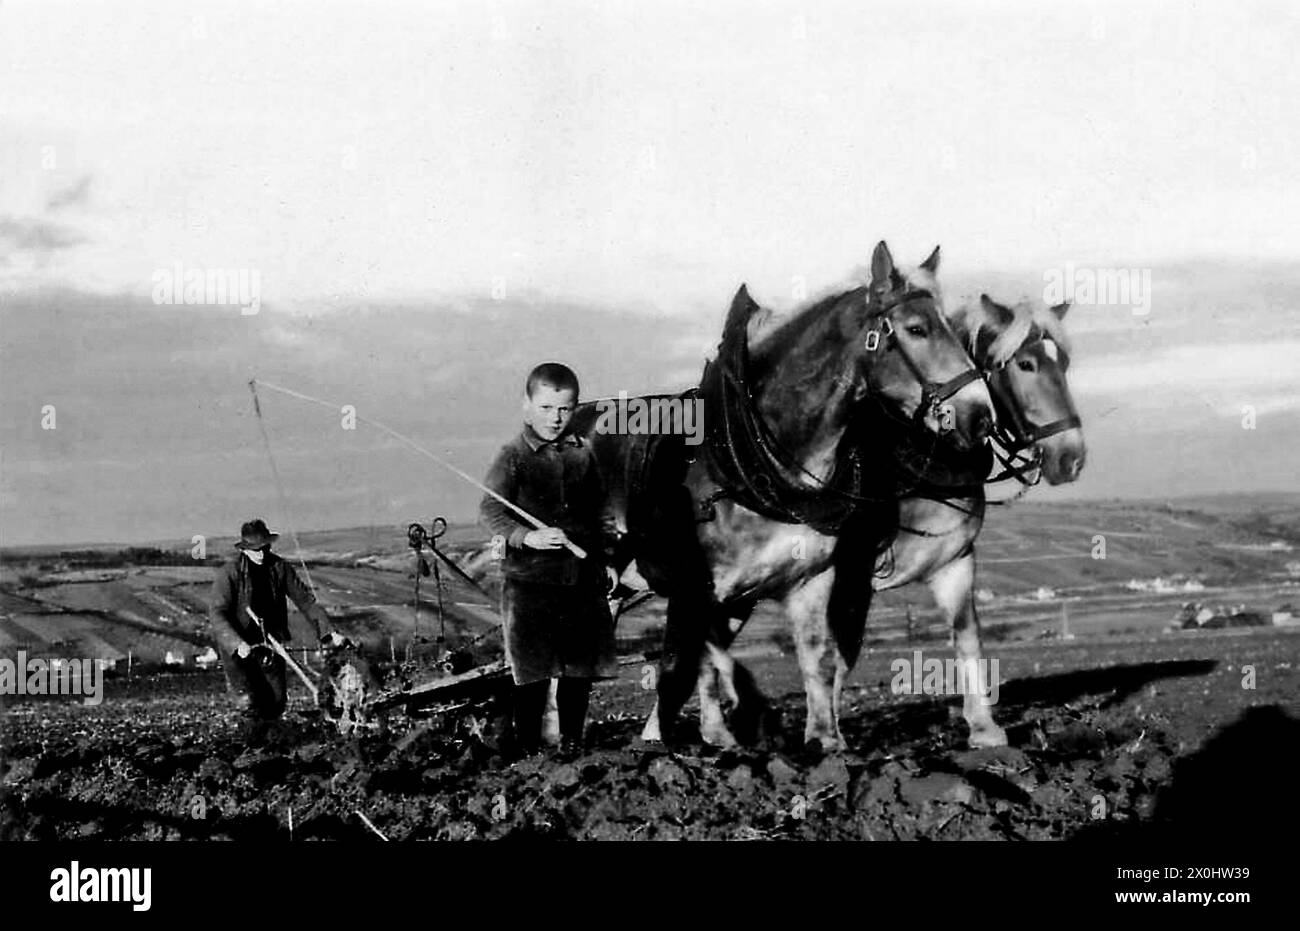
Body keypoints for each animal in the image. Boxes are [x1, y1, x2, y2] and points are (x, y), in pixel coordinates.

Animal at [572, 241, 993, 748]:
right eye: (917, 328)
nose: (980, 417)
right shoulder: (700, 587)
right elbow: (697, 661)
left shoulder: (814, 580)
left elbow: (818, 658)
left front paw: (825, 741)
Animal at [696, 288, 1092, 748]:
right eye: (1026, 364)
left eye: (1062, 364)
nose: (1072, 458)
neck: (912, 465)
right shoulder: (849, 580)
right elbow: (838, 655)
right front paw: (830, 733)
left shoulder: (955, 562)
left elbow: (966, 634)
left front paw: (983, 727)